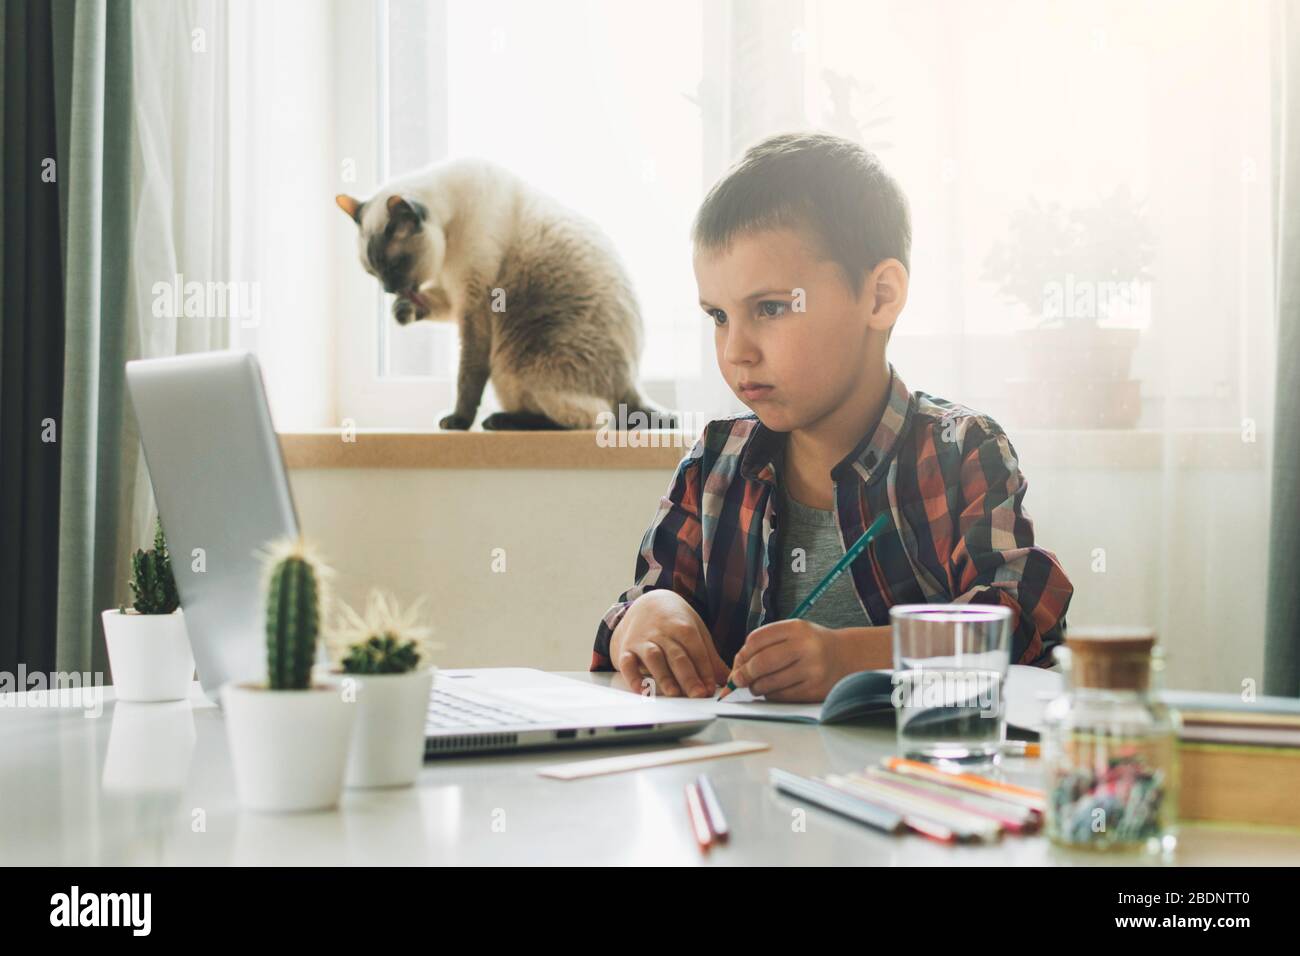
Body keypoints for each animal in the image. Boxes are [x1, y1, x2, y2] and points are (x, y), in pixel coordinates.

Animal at [335, 158, 681, 429]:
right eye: (372, 272)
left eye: (395, 266)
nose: (389, 289)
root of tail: (633, 381)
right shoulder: (453, 293)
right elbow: (432, 303)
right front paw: (403, 311)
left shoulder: (473, 301)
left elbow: (468, 374)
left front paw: (458, 422)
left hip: (519, 364)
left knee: (595, 418)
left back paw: (500, 422)